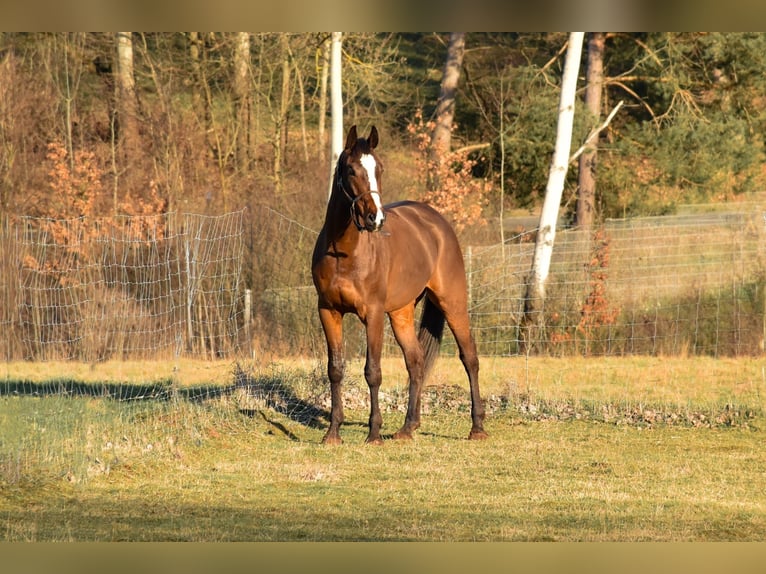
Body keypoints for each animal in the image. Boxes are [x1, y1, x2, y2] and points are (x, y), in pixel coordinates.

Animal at [310, 125, 486, 446]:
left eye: (379, 168)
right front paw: (333, 433)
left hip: (452, 303)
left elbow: (373, 372)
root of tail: (438, 222)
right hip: (401, 312)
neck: (343, 253)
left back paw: (477, 427)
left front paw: (374, 434)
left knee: (469, 358)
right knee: (416, 361)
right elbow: (335, 370)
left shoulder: (373, 314)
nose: (375, 218)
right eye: (351, 170)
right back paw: (408, 428)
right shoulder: (328, 311)